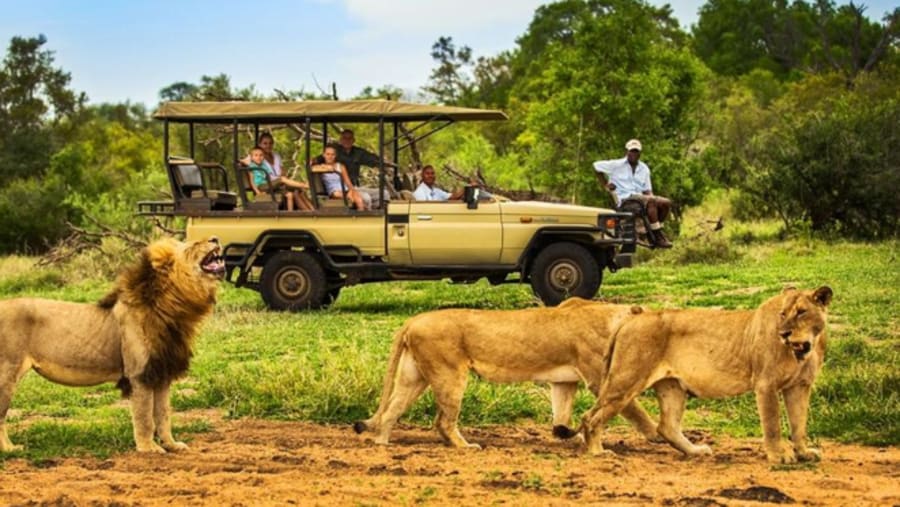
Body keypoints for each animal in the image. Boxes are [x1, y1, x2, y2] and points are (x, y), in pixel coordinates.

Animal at [0, 237, 224, 454]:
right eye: (195, 244)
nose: (215, 238)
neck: (172, 307)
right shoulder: (139, 374)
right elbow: (145, 417)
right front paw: (148, 448)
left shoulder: (161, 373)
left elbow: (163, 415)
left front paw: (171, 445)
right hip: (7, 374)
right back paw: (10, 449)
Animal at [354, 299, 659, 448]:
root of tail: (413, 320)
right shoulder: (599, 378)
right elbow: (635, 409)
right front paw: (657, 435)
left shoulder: (563, 380)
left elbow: (561, 412)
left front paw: (569, 434)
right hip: (449, 373)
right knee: (443, 421)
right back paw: (465, 447)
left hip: (414, 376)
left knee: (392, 409)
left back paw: (382, 444)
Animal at [567, 286, 833, 463]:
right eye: (782, 313)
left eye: (801, 312)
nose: (784, 333)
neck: (804, 350)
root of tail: (632, 318)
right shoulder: (765, 384)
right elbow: (773, 424)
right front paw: (779, 456)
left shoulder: (800, 386)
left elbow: (799, 423)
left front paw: (804, 453)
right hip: (625, 381)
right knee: (590, 417)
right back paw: (597, 452)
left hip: (671, 386)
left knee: (667, 427)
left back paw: (696, 451)